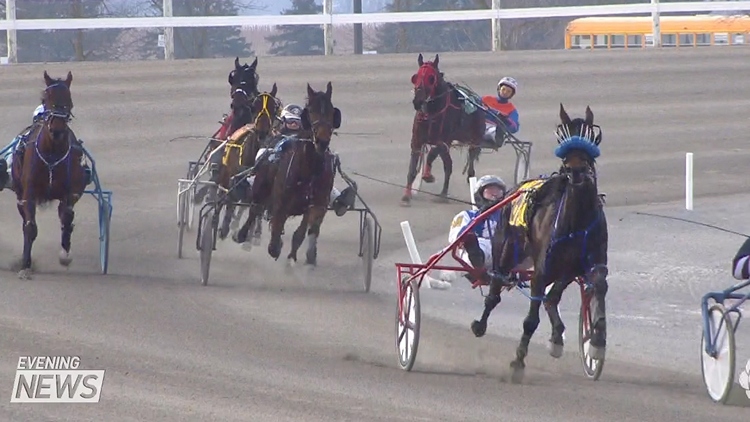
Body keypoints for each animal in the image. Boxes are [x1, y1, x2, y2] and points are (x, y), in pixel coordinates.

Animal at [12, 70, 87, 278]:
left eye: (69, 99)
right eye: (45, 98)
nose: (57, 129)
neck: (52, 153)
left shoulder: (70, 192)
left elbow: (67, 219)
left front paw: (65, 255)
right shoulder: (28, 193)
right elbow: (30, 227)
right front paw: (25, 265)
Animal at [217, 83, 282, 241]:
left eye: (274, 107)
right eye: (254, 106)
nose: (262, 132)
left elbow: (258, 206)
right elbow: (230, 199)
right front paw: (226, 227)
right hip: (225, 174)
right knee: (223, 197)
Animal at [232, 82, 344, 264]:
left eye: (331, 111)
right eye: (310, 111)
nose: (322, 141)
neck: (309, 170)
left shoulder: (316, 205)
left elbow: (303, 232)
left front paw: (299, 257)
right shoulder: (280, 204)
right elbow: (274, 237)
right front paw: (277, 246)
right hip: (261, 185)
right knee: (255, 208)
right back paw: (243, 234)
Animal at [402, 54, 484, 206]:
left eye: (431, 77)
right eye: (415, 77)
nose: (417, 101)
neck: (432, 112)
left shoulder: (444, 140)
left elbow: (432, 153)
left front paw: (427, 175)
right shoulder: (416, 141)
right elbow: (412, 169)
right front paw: (406, 196)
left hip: (475, 139)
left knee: (468, 163)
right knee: (449, 165)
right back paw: (443, 193)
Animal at [470, 104, 612, 384]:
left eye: (590, 137)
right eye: (563, 138)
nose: (576, 171)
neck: (577, 219)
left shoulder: (593, 262)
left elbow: (599, 286)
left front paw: (596, 343)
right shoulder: (542, 269)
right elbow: (530, 320)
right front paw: (518, 362)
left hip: (566, 269)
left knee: (552, 297)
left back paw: (557, 336)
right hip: (507, 252)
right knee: (495, 291)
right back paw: (480, 324)